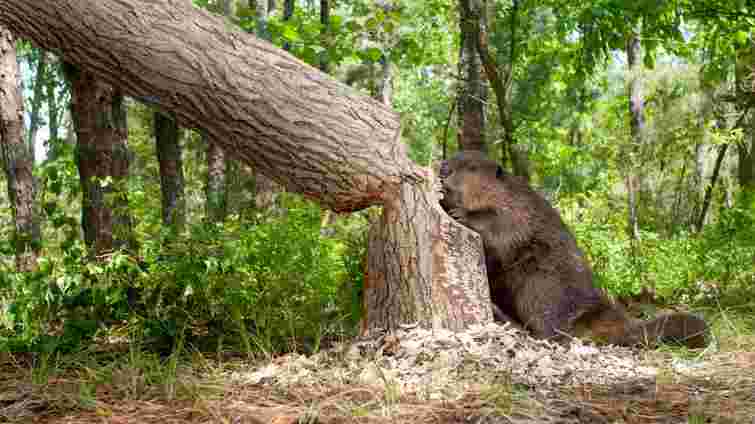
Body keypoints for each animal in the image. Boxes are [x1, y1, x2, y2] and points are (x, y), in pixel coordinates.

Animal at [440, 152, 712, 348]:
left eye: (471, 168)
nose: (443, 168)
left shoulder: (517, 208)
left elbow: (502, 230)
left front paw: (460, 213)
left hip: (541, 285)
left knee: (552, 333)